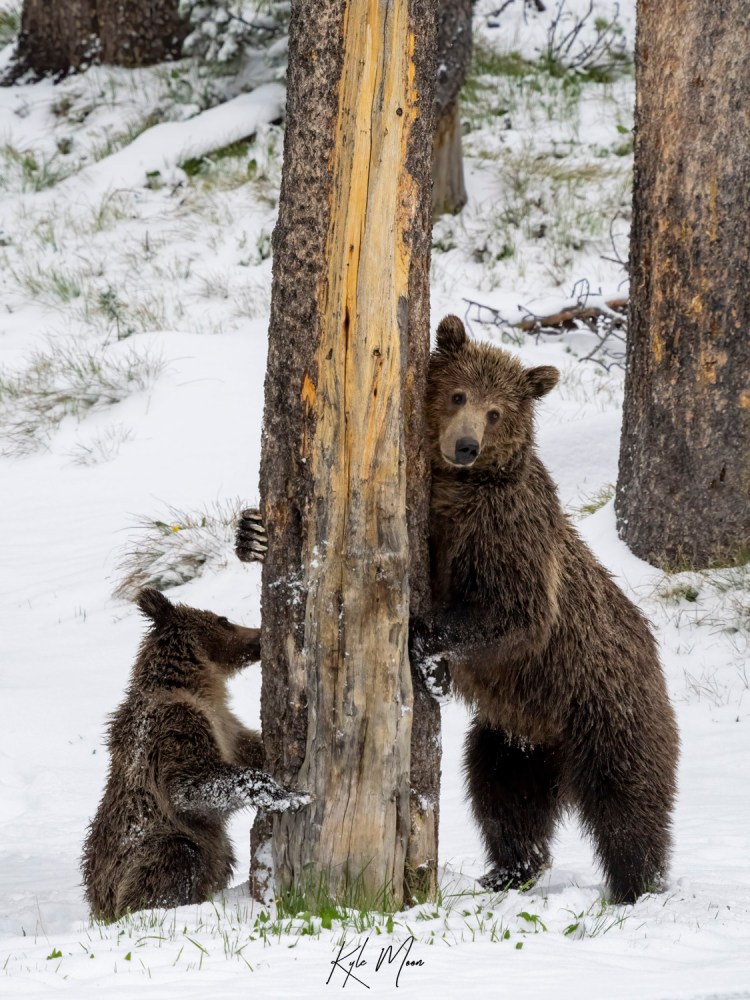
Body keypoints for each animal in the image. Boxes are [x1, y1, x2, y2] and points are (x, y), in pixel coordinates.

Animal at [79, 584, 308, 920]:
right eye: (224, 620)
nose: (258, 637)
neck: (198, 687)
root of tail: (97, 903)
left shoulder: (226, 726)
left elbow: (250, 747)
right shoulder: (174, 727)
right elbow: (188, 785)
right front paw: (286, 795)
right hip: (135, 859)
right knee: (177, 856)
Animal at [412, 316, 680, 904]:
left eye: (496, 411)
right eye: (458, 393)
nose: (465, 445)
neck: (457, 490)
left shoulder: (507, 534)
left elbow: (513, 610)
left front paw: (425, 643)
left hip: (605, 710)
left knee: (627, 801)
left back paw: (634, 885)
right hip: (517, 733)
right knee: (502, 794)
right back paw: (507, 870)